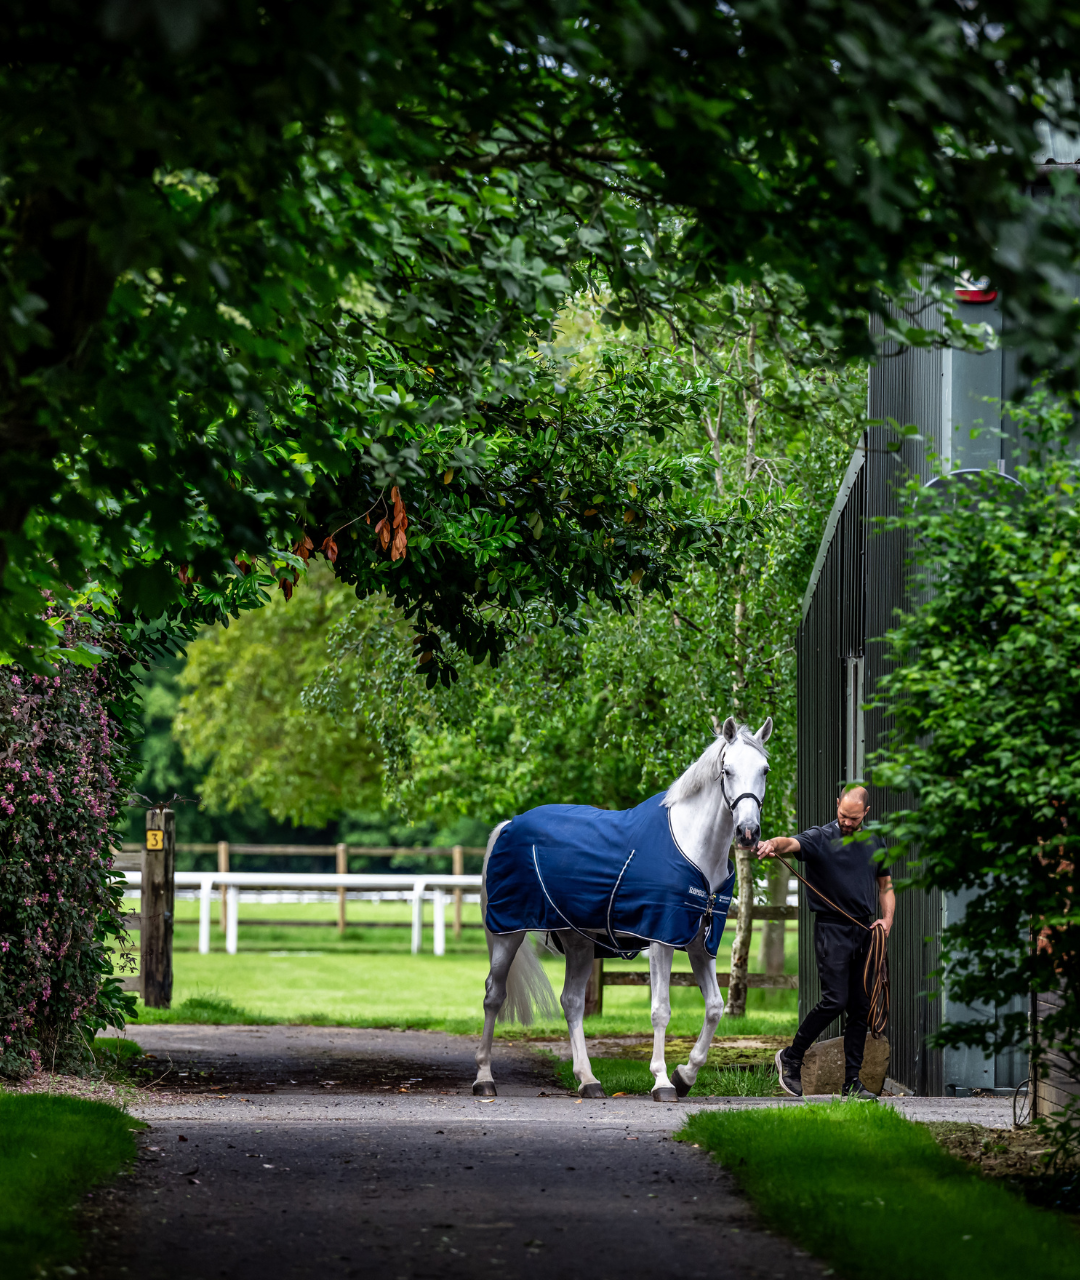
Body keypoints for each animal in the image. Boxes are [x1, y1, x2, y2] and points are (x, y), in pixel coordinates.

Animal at [472, 715, 772, 1100]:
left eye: (764, 770)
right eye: (727, 770)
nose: (748, 832)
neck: (693, 846)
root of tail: (509, 824)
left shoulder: (698, 943)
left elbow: (715, 1008)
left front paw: (685, 1075)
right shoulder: (661, 938)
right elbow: (661, 1010)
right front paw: (662, 1081)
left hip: (577, 940)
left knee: (571, 1002)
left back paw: (588, 1080)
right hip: (510, 931)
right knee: (493, 995)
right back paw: (484, 1078)